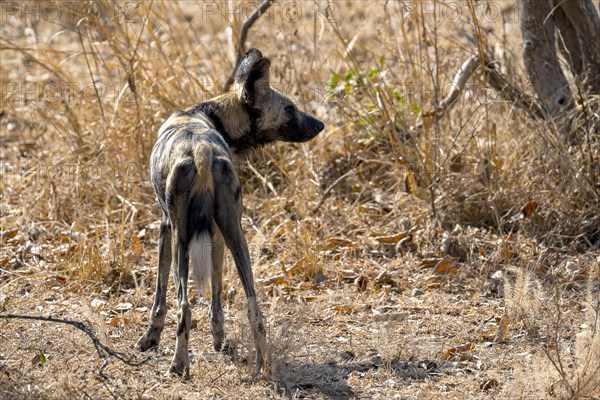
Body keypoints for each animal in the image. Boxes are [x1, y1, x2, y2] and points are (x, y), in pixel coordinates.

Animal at [137, 49, 324, 376]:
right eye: (290, 108)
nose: (320, 125)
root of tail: (201, 150)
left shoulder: (165, 227)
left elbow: (159, 298)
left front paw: (150, 339)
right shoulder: (217, 233)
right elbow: (217, 300)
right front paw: (220, 342)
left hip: (181, 239)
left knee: (184, 305)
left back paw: (179, 365)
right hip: (235, 234)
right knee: (253, 305)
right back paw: (263, 364)